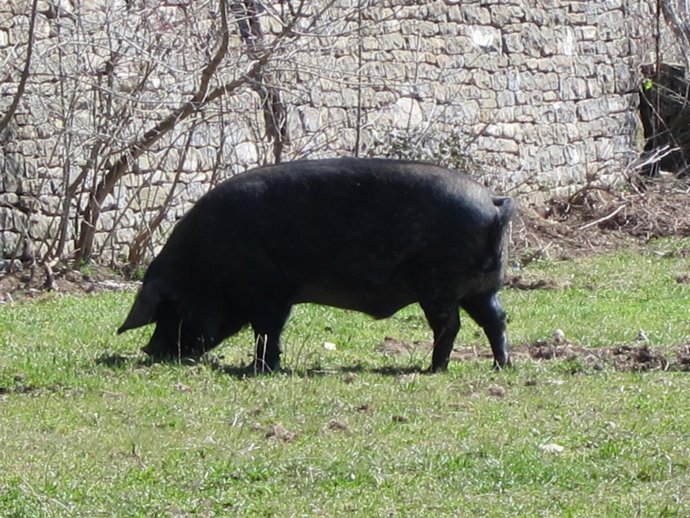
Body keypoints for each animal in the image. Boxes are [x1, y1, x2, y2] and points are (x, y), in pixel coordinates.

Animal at [118, 157, 516, 373]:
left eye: (169, 308)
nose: (150, 351)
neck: (206, 266)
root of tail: (493, 202)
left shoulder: (269, 293)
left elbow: (267, 331)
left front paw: (260, 369)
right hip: (481, 288)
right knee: (496, 318)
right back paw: (501, 365)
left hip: (441, 288)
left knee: (452, 326)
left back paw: (433, 368)